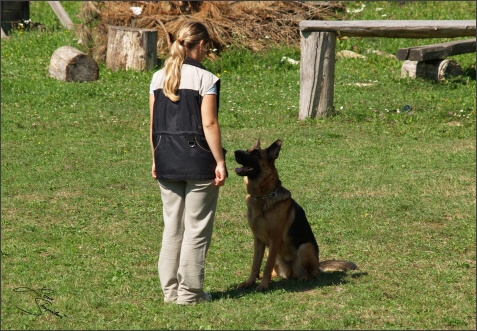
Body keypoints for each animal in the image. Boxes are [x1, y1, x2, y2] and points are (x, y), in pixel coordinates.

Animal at [234, 139, 356, 292]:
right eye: (246, 150)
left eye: (255, 153)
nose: (235, 152)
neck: (262, 196)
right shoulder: (259, 240)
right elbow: (255, 264)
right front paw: (250, 282)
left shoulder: (275, 239)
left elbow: (267, 265)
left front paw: (263, 286)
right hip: (272, 253)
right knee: (274, 271)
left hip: (304, 248)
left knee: (313, 273)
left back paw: (305, 277)